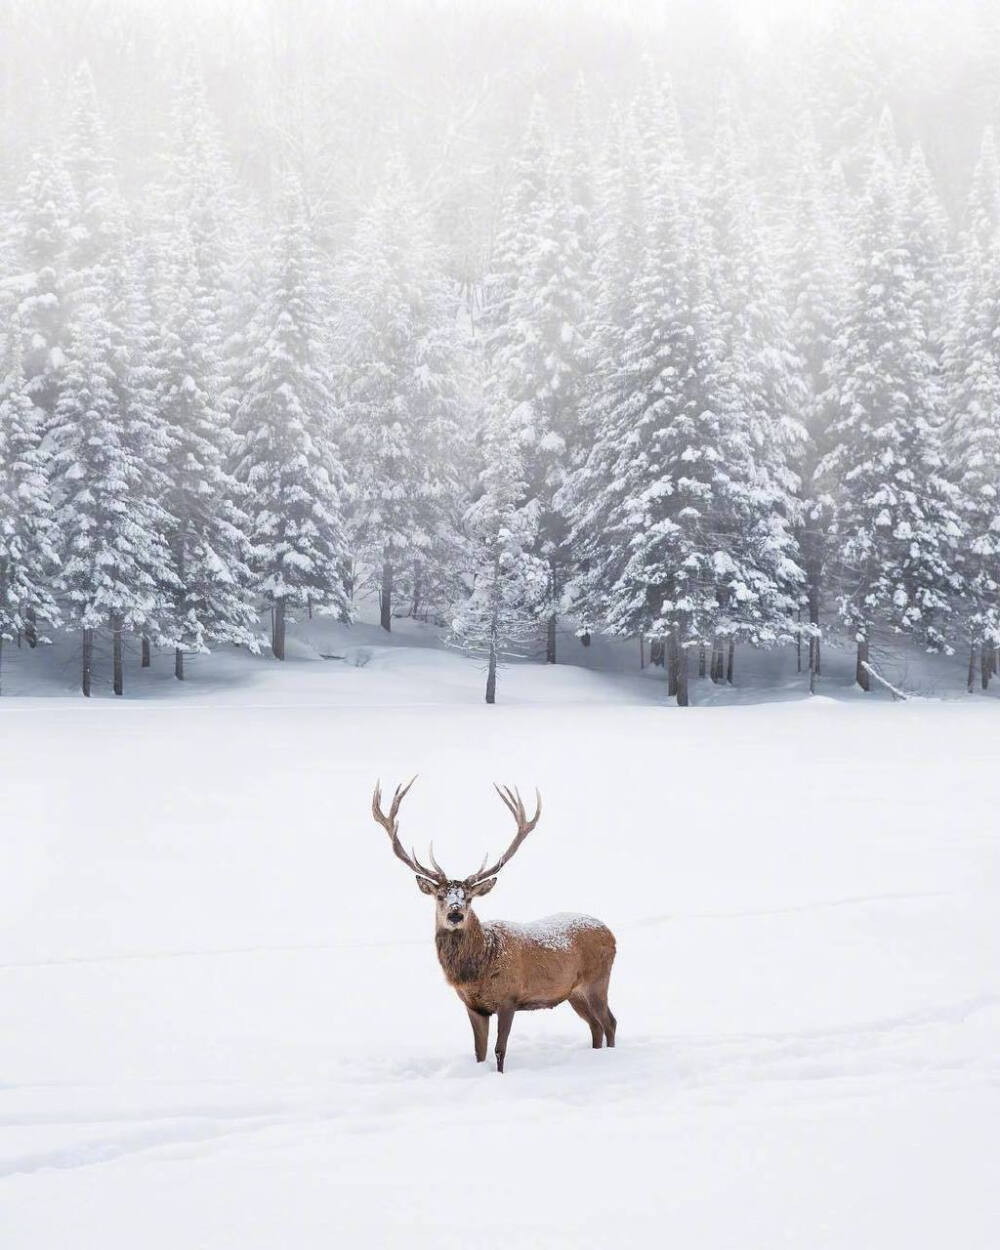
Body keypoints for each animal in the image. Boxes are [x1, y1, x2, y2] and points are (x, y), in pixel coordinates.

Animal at [370, 775, 612, 1070]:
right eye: (440, 896)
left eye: (468, 898)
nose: (455, 914)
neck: (477, 969)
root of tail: (610, 933)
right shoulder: (473, 1006)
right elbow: (479, 1052)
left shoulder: (509, 998)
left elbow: (499, 1051)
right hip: (573, 992)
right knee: (596, 1025)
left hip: (598, 979)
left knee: (609, 1022)